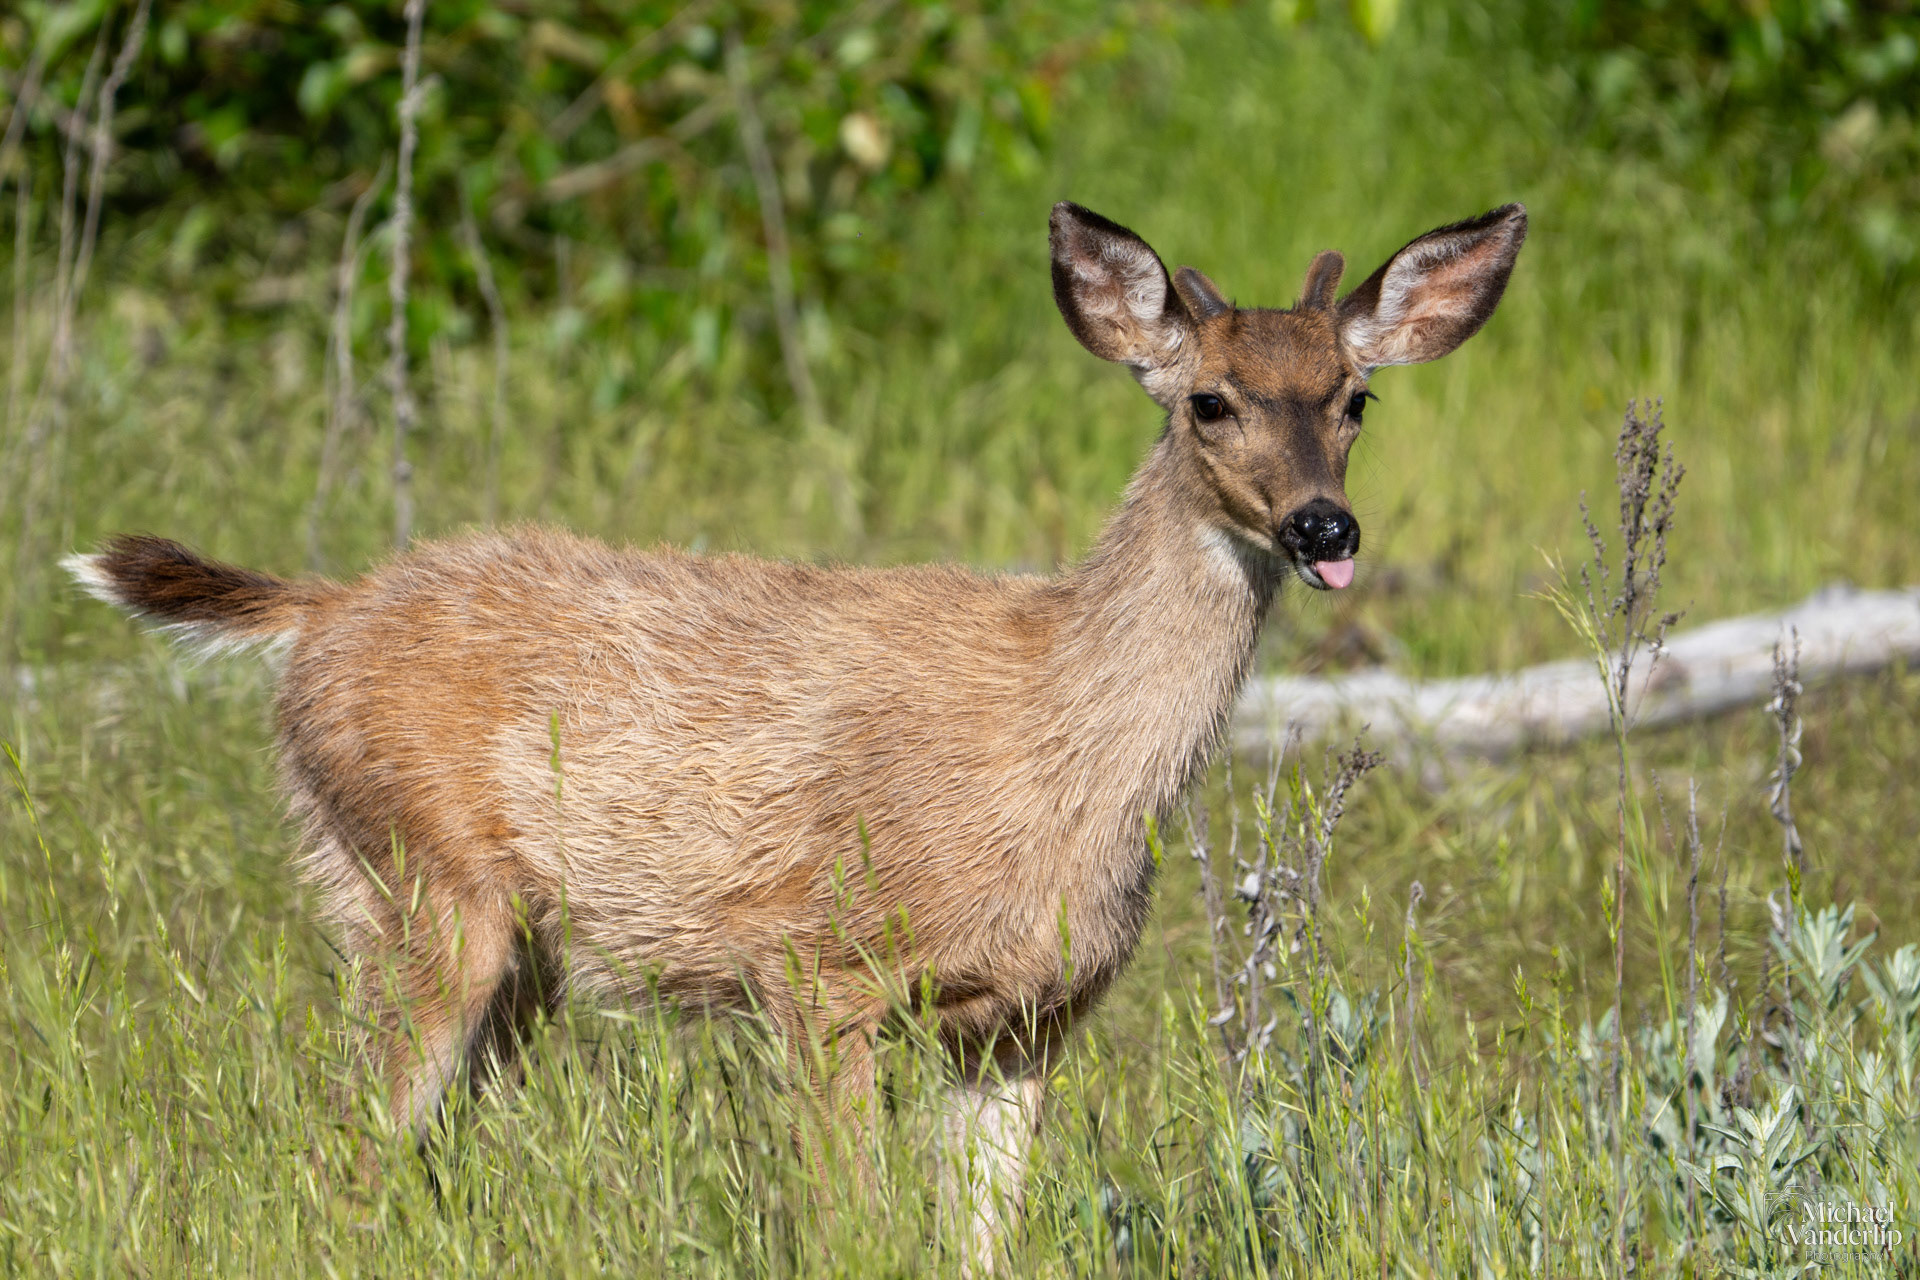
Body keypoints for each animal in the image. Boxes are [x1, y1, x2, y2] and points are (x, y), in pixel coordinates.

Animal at [67, 199, 1525, 1266]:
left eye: (1355, 397)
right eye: (1209, 399)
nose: (1324, 525)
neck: (1061, 758)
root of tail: (321, 610)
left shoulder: (1031, 1018)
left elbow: (979, 1243)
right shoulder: (817, 965)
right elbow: (850, 1229)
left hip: (516, 956)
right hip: (416, 883)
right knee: (340, 1152)